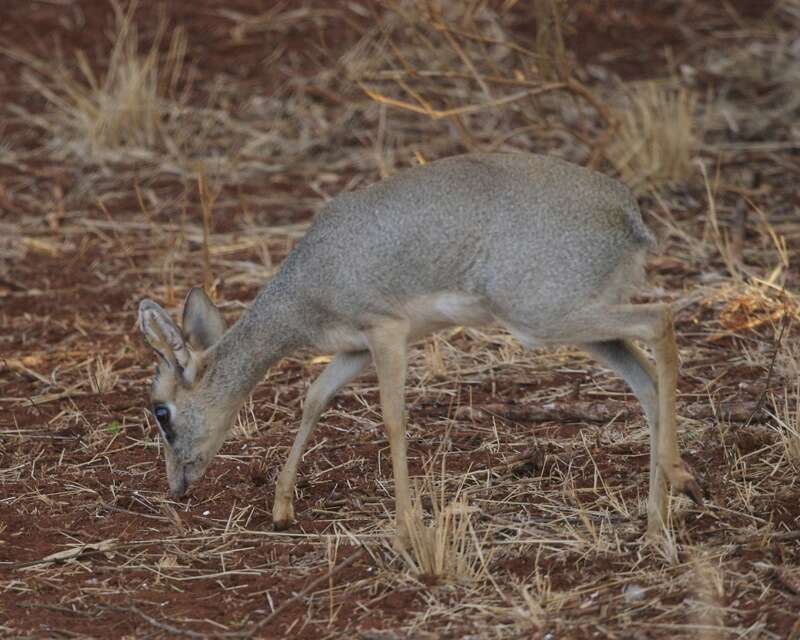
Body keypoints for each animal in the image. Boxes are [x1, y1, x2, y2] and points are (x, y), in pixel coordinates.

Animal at [138, 154, 700, 540]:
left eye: (161, 411)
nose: (175, 486)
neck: (305, 288)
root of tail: (628, 215)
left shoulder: (386, 331)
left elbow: (392, 418)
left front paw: (406, 524)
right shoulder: (354, 348)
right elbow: (315, 399)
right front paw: (281, 507)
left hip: (546, 319)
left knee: (661, 320)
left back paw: (680, 480)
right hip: (577, 325)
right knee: (647, 382)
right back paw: (657, 520)